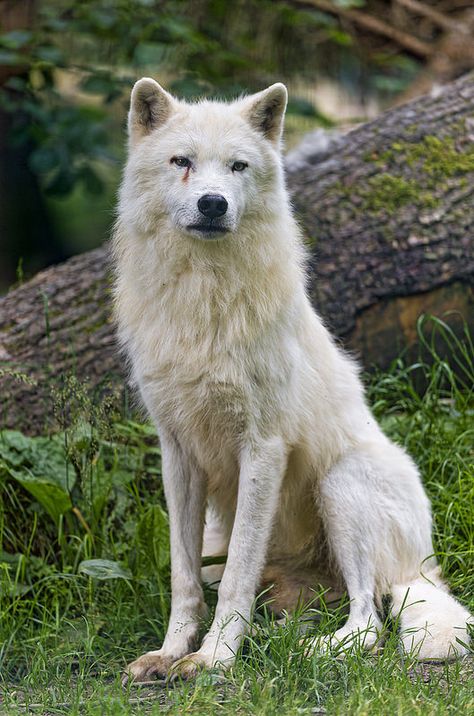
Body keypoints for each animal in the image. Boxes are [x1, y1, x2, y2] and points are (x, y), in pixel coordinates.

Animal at [113, 78, 472, 684]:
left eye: (237, 166)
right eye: (182, 162)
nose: (213, 203)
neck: (202, 301)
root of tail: (423, 565)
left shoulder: (263, 447)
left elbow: (237, 577)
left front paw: (213, 659)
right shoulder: (178, 454)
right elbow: (183, 579)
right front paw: (170, 653)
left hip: (341, 486)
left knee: (369, 623)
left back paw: (306, 651)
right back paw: (272, 638)